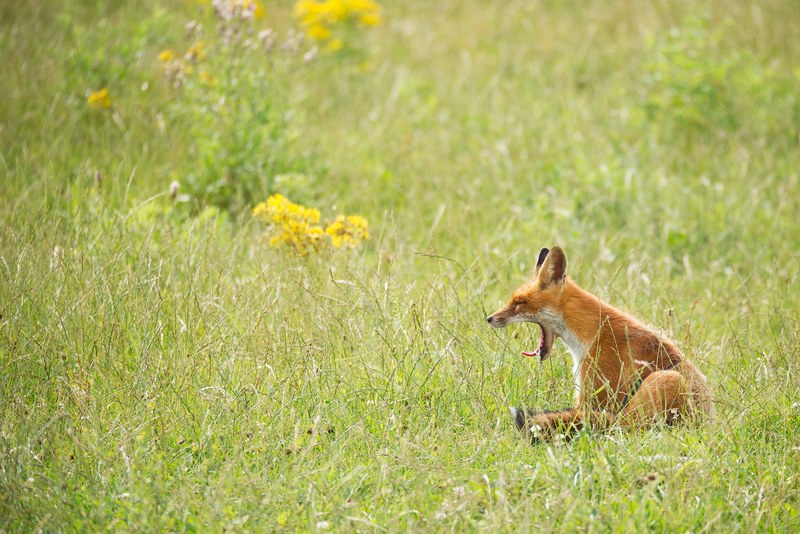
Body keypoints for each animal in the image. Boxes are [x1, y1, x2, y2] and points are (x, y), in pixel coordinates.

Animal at [487, 246, 712, 441]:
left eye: (519, 302)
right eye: (513, 300)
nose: (489, 318)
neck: (590, 333)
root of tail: (706, 423)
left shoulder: (595, 391)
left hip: (665, 383)